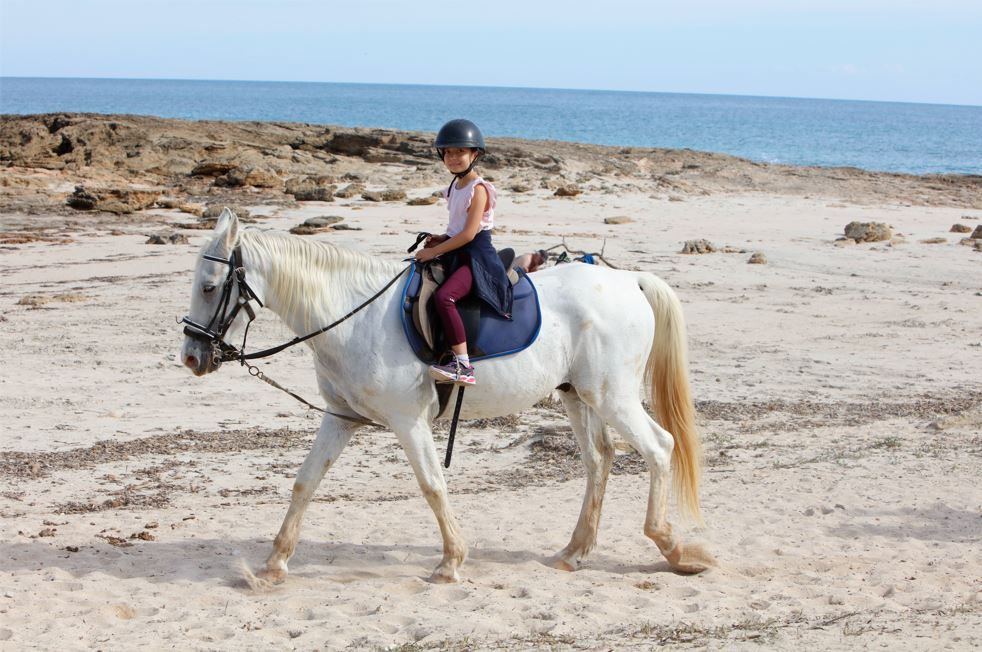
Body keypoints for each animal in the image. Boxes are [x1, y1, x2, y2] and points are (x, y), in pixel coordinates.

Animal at [179, 210, 716, 584]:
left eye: (209, 287)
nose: (191, 357)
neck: (353, 316)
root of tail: (629, 280)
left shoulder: (407, 421)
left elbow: (433, 485)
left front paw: (451, 562)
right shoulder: (341, 418)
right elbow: (304, 484)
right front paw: (273, 563)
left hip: (612, 397)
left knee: (659, 448)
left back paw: (672, 547)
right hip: (578, 396)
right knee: (600, 459)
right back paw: (573, 552)